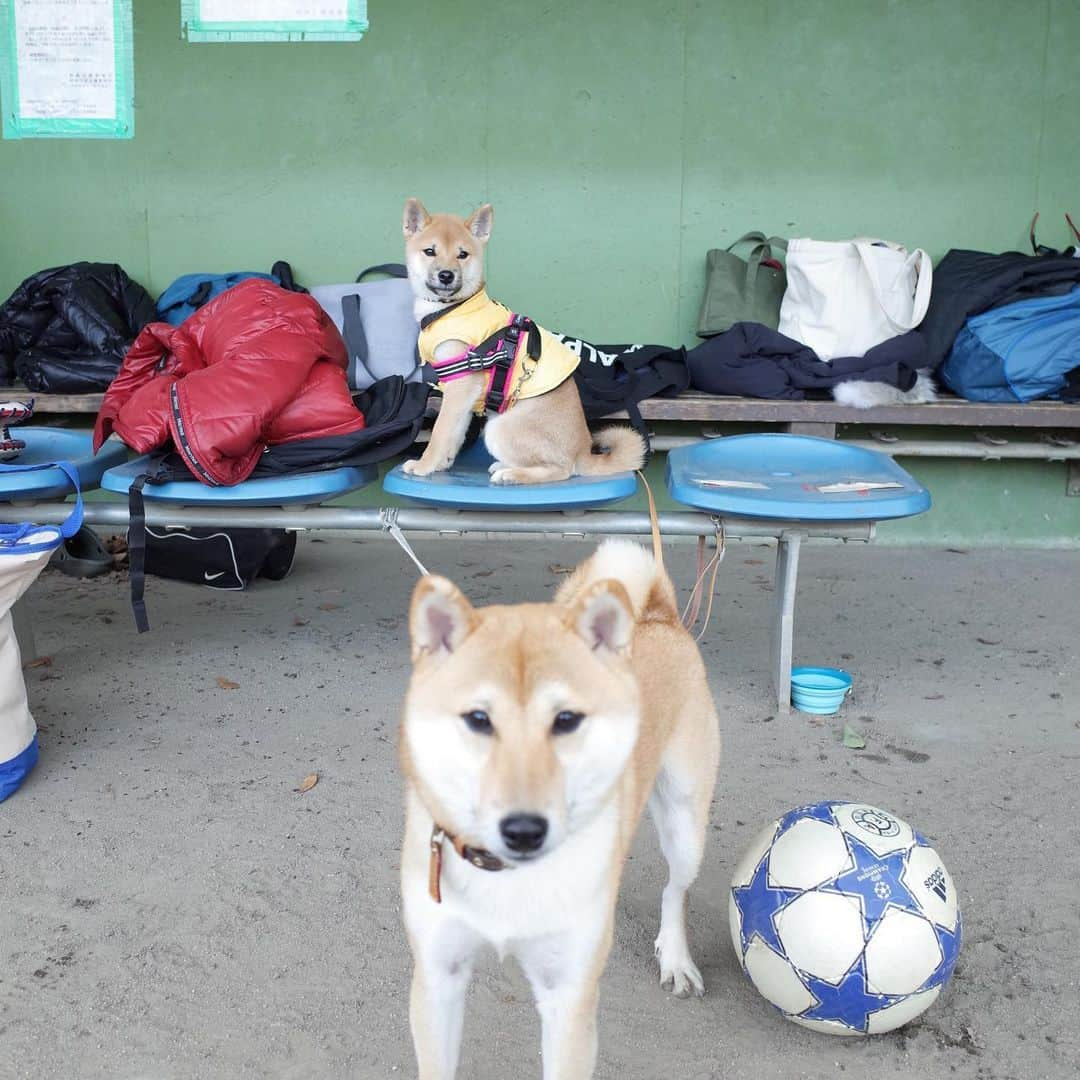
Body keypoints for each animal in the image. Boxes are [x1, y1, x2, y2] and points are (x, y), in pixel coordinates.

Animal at [401, 200, 643, 488]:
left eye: (463, 254)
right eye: (430, 251)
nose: (447, 275)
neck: (452, 308)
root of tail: (583, 451)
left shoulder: (461, 386)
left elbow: (440, 432)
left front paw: (424, 464)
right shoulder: (462, 396)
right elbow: (454, 434)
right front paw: (441, 463)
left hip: (499, 428)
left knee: (560, 470)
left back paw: (512, 474)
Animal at [401, 540, 721, 1080]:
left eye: (567, 719)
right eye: (478, 719)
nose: (524, 830)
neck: (507, 877)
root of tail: (659, 617)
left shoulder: (568, 997)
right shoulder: (438, 979)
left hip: (685, 827)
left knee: (675, 890)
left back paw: (675, 956)